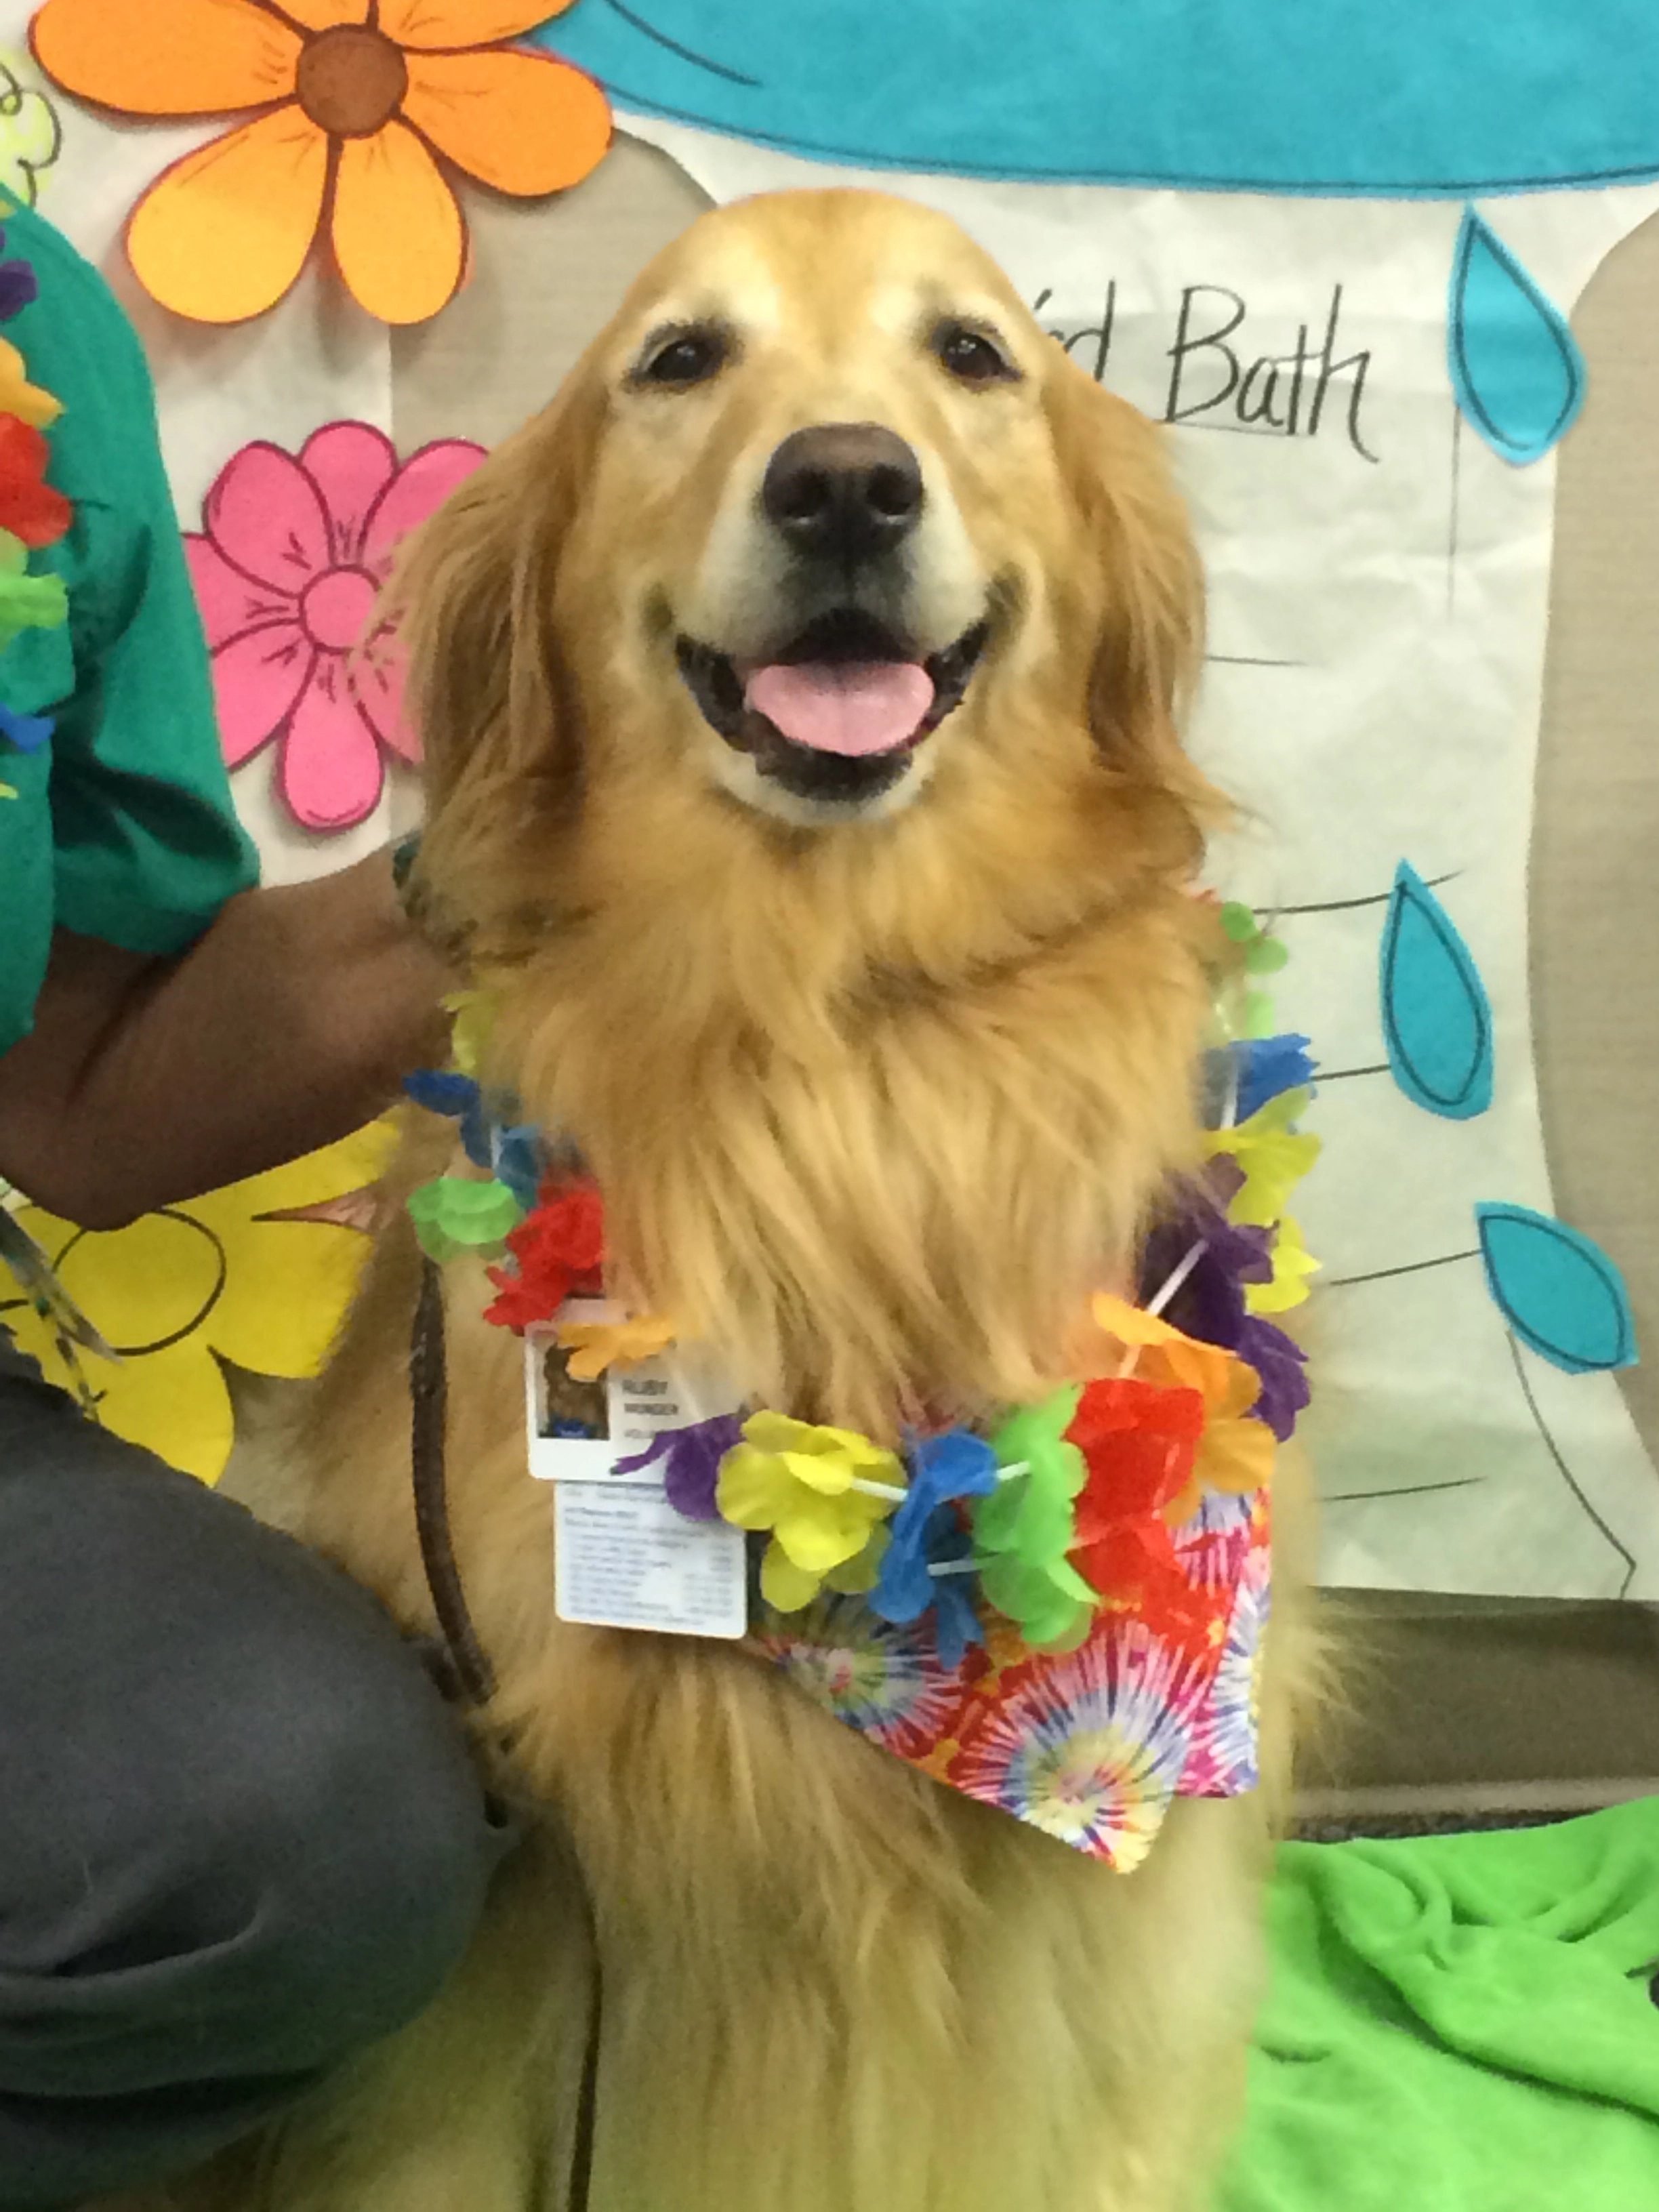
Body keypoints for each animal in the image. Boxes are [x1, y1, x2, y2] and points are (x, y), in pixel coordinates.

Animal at [133, 186, 1309, 2212]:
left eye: (973, 354)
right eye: (680, 360)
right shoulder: (511, 1910)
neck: (830, 1033)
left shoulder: (1096, 1921)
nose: (844, 484)